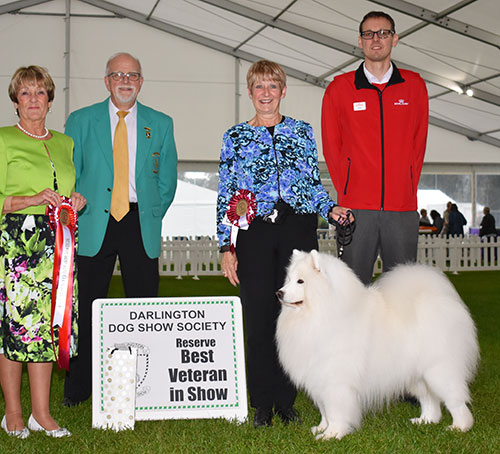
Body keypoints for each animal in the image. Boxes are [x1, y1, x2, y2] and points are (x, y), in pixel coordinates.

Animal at [276, 250, 478, 442]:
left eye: (301, 281)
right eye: (289, 280)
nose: (279, 293)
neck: (320, 314)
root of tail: (444, 299)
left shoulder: (336, 383)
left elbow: (335, 412)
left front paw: (332, 435)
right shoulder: (318, 379)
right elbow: (324, 411)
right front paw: (320, 428)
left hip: (438, 371)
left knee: (456, 400)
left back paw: (459, 427)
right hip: (416, 376)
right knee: (429, 398)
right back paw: (426, 420)